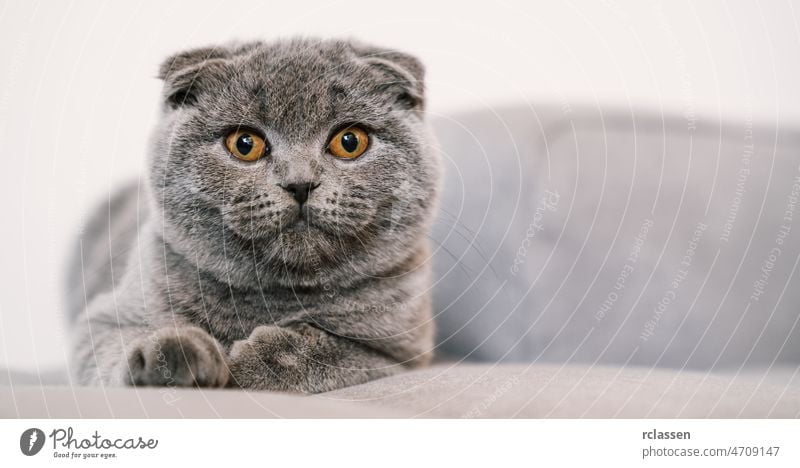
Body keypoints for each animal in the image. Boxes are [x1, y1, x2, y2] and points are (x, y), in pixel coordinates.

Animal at [67, 38, 444, 394]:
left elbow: (334, 349)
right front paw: (174, 351)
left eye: (350, 141)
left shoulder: (402, 356)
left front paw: (255, 361)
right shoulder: (102, 319)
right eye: (244, 144)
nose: (300, 183)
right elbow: (116, 344)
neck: (278, 294)